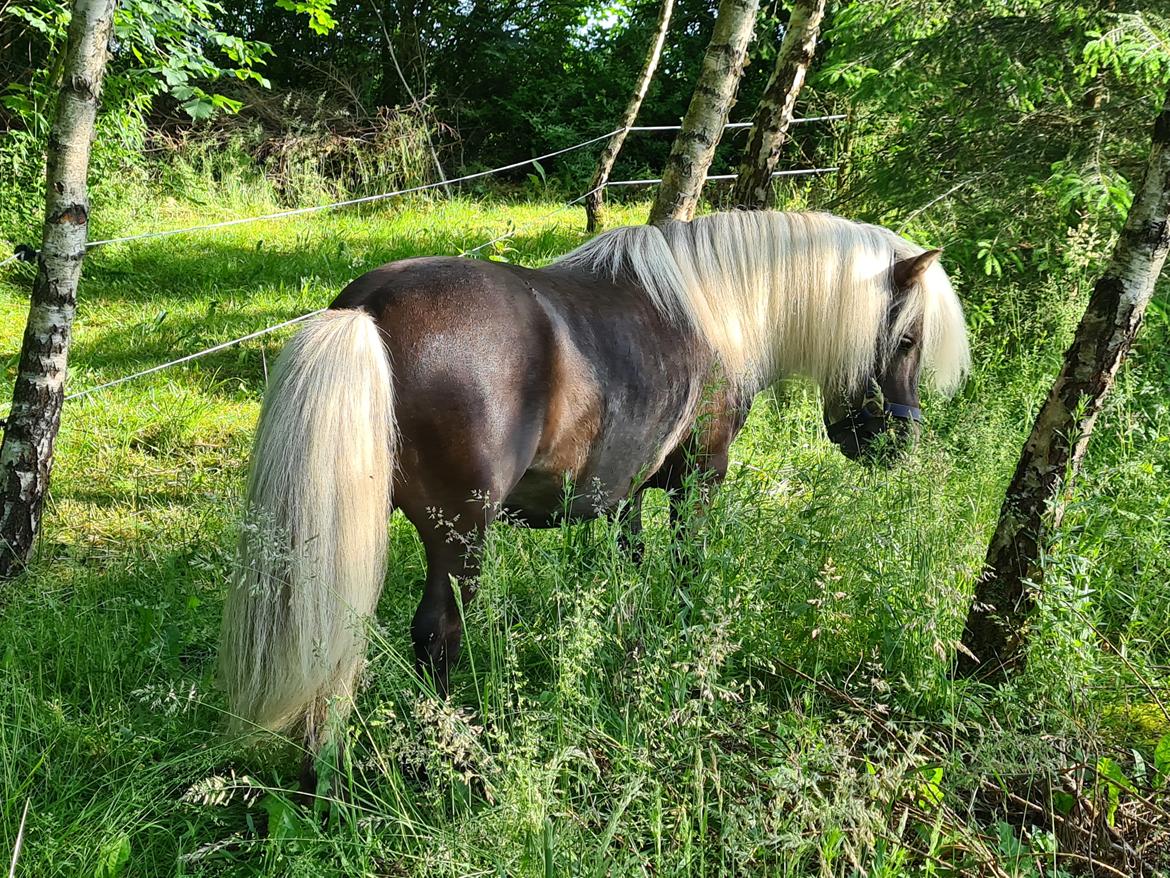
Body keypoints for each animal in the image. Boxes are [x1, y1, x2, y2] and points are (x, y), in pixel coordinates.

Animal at [217, 209, 968, 753]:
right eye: (906, 339)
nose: (897, 442)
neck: (714, 311)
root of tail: (367, 309)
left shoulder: (621, 493)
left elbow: (626, 568)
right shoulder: (701, 479)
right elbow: (688, 567)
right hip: (459, 536)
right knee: (437, 632)